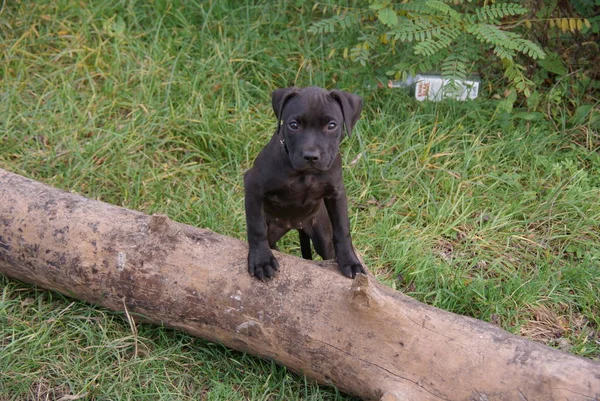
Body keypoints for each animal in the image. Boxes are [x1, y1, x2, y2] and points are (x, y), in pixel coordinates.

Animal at [244, 85, 366, 278]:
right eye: (293, 125)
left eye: (332, 125)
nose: (311, 156)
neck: (306, 174)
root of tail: (296, 225)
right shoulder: (253, 186)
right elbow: (256, 226)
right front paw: (261, 261)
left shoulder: (336, 194)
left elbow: (343, 229)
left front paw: (350, 261)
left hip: (323, 236)